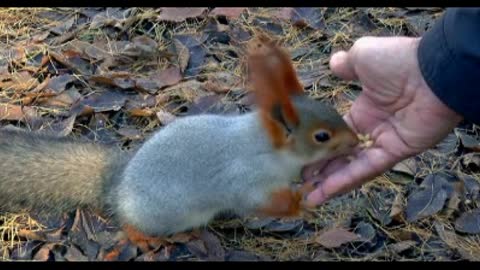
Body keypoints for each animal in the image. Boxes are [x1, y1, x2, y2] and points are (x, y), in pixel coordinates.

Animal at [0, 34, 358, 253]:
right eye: (321, 136)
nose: (355, 142)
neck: (269, 148)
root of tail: (118, 185)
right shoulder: (243, 179)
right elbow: (254, 201)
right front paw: (300, 203)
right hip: (160, 214)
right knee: (129, 222)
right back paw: (142, 236)